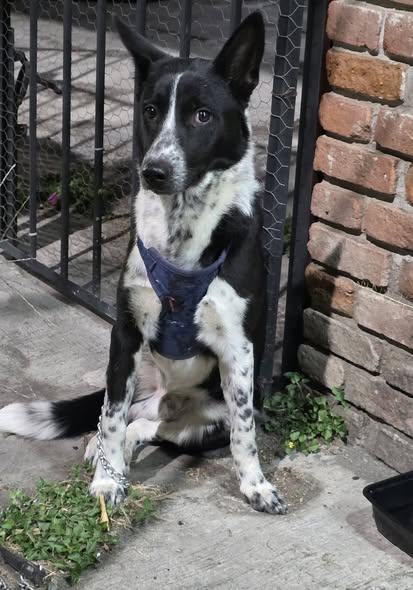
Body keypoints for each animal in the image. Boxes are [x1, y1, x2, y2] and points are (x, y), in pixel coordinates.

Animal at [0, 12, 287, 515]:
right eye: (150, 110)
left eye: (202, 115)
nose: (153, 172)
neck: (181, 228)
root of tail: (164, 398)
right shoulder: (125, 334)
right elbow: (112, 416)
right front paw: (106, 482)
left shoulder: (238, 349)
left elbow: (245, 433)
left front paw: (255, 485)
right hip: (132, 375)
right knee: (119, 414)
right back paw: (99, 450)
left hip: (204, 422)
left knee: (157, 428)